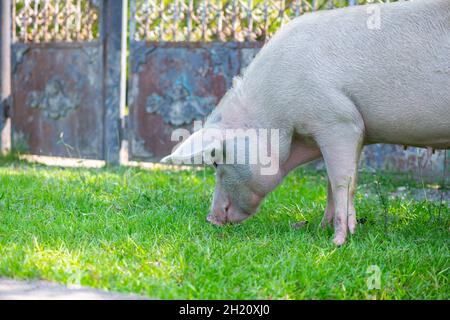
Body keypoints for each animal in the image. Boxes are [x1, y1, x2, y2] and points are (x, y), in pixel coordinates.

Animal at [162, 0, 450, 245]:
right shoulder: (357, 132)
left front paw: (338, 241)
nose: (211, 218)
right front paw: (322, 228)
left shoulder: (340, 121)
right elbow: (338, 182)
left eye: (216, 161)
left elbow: (341, 181)